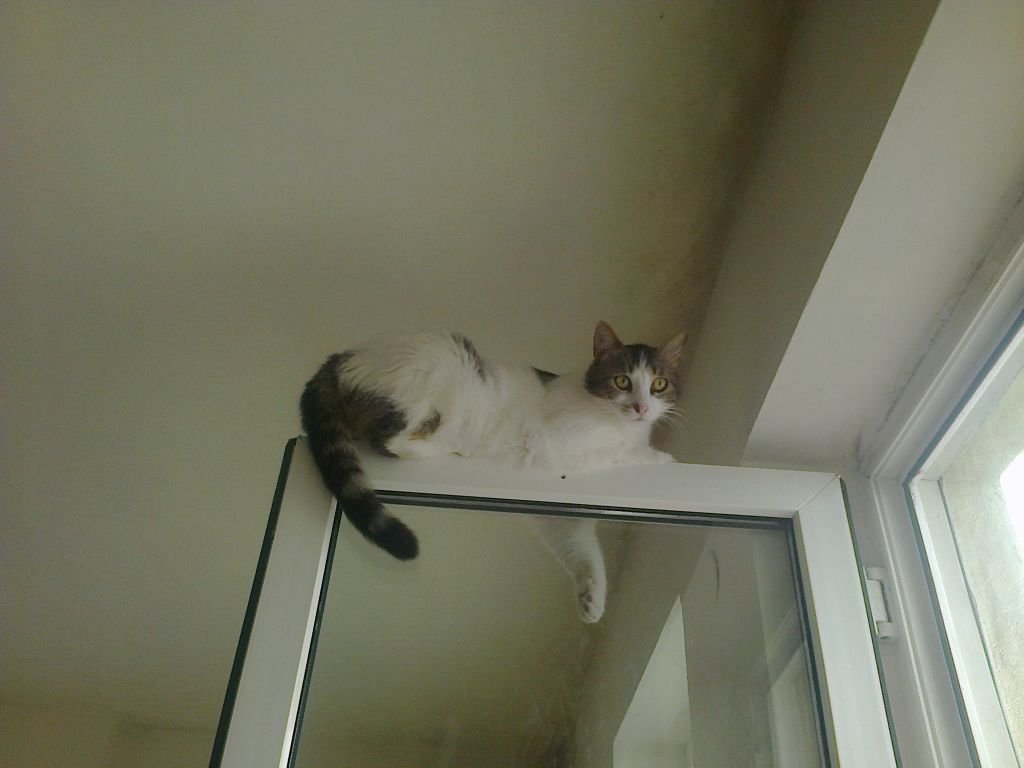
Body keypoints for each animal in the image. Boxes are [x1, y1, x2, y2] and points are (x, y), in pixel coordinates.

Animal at [300, 321, 685, 622]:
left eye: (659, 385)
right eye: (622, 382)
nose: (642, 408)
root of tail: (338, 358)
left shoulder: (558, 514)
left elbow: (581, 548)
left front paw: (592, 598)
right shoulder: (562, 442)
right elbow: (621, 450)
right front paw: (662, 457)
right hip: (441, 372)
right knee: (392, 439)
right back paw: (448, 443)